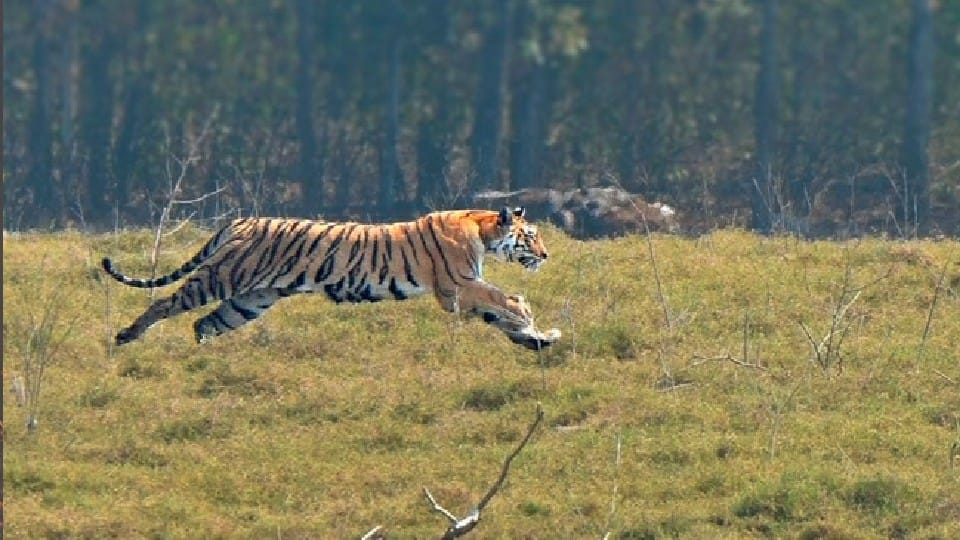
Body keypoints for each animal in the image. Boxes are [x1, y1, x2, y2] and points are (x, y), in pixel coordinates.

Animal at [102, 207, 561, 351]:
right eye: (531, 235)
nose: (545, 255)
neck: (482, 229)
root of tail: (239, 221)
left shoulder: (462, 295)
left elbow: (498, 316)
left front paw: (536, 340)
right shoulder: (458, 287)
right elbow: (506, 301)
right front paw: (531, 323)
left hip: (253, 298)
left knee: (205, 324)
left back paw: (207, 358)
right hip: (224, 276)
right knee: (167, 303)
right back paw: (126, 337)